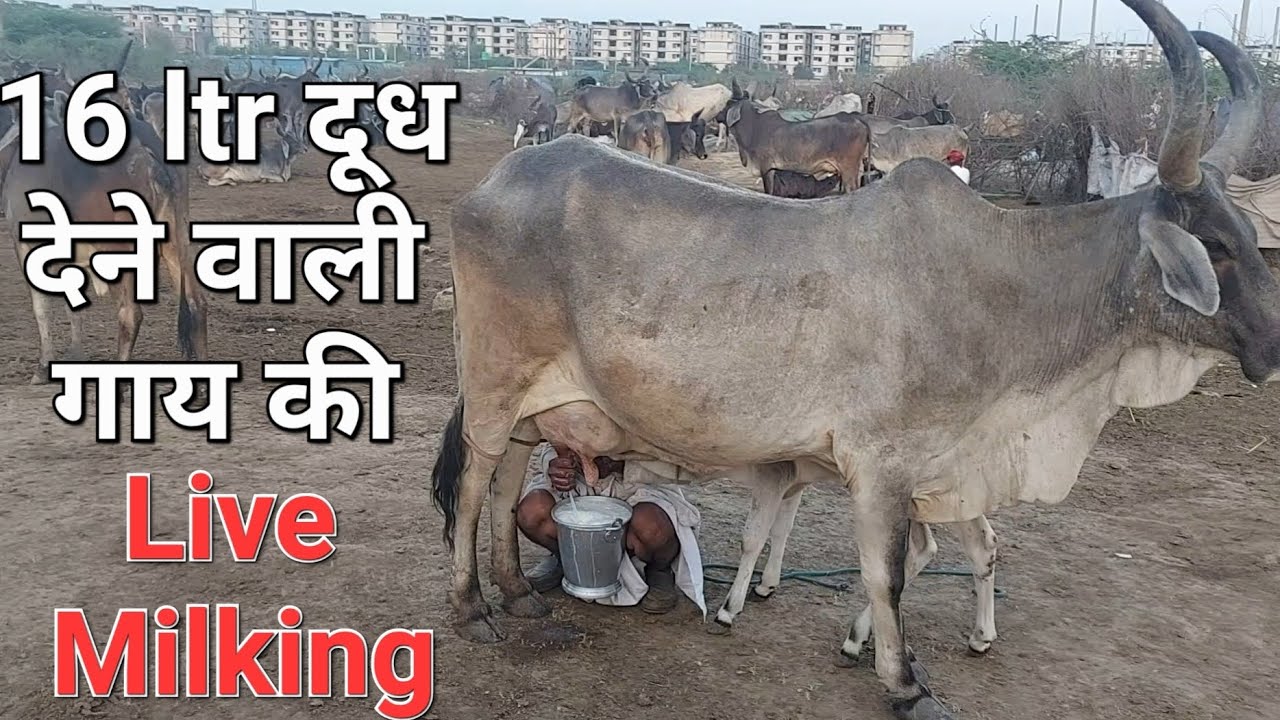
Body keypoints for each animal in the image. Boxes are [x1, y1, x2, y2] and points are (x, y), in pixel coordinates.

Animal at [1, 42, 209, 382]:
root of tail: (145, 149)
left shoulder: (26, 241)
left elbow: (41, 305)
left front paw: (44, 365)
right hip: (176, 236)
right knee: (195, 303)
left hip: (119, 246)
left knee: (130, 312)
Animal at [724, 97, 871, 193]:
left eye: (727, 105)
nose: (719, 113)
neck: (753, 127)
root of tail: (860, 122)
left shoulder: (766, 168)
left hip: (848, 170)